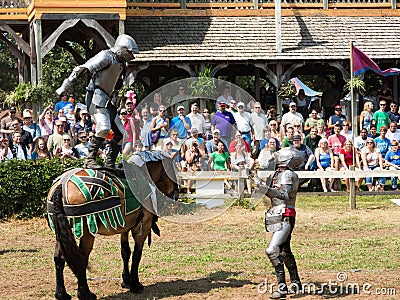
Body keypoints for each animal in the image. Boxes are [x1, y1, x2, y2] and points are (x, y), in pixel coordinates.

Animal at [46, 155, 179, 300]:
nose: (176, 195)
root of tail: (61, 185)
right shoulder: (142, 226)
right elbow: (137, 255)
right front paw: (135, 284)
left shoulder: (125, 227)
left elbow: (125, 252)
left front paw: (126, 280)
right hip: (87, 232)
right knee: (81, 258)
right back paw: (85, 293)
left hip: (61, 231)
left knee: (59, 258)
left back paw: (61, 293)